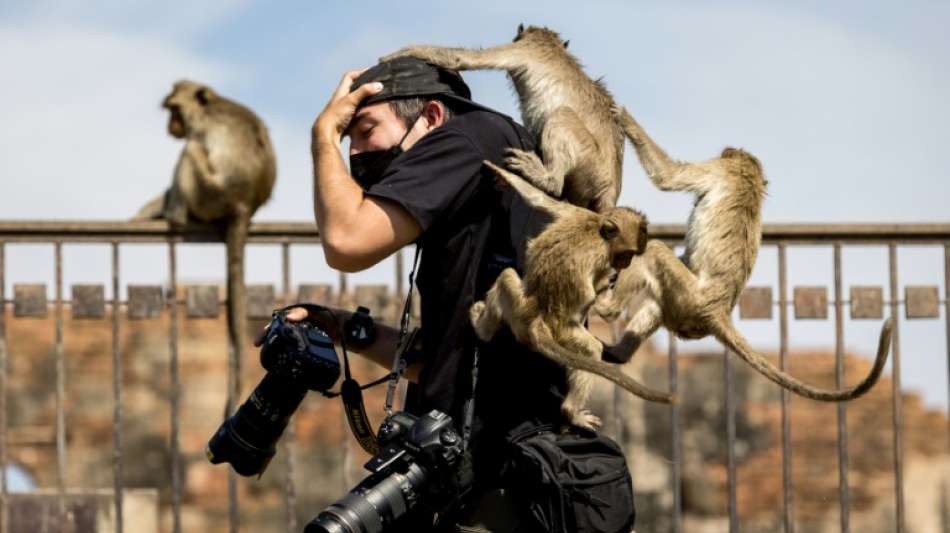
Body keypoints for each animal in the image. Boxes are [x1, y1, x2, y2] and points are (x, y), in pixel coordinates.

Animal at [472, 161, 672, 428]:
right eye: (626, 254)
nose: (625, 264)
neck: (598, 231)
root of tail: (536, 322)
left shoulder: (577, 213)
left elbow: (539, 200)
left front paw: (505, 175)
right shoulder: (598, 253)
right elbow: (588, 297)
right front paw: (603, 288)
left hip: (518, 308)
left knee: (506, 277)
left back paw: (482, 329)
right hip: (560, 332)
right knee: (589, 348)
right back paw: (571, 411)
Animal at [600, 106, 896, 402]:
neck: (750, 176)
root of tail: (718, 312)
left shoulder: (720, 169)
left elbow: (668, 176)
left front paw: (625, 118)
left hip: (690, 298)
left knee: (654, 251)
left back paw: (607, 308)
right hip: (685, 306)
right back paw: (617, 354)